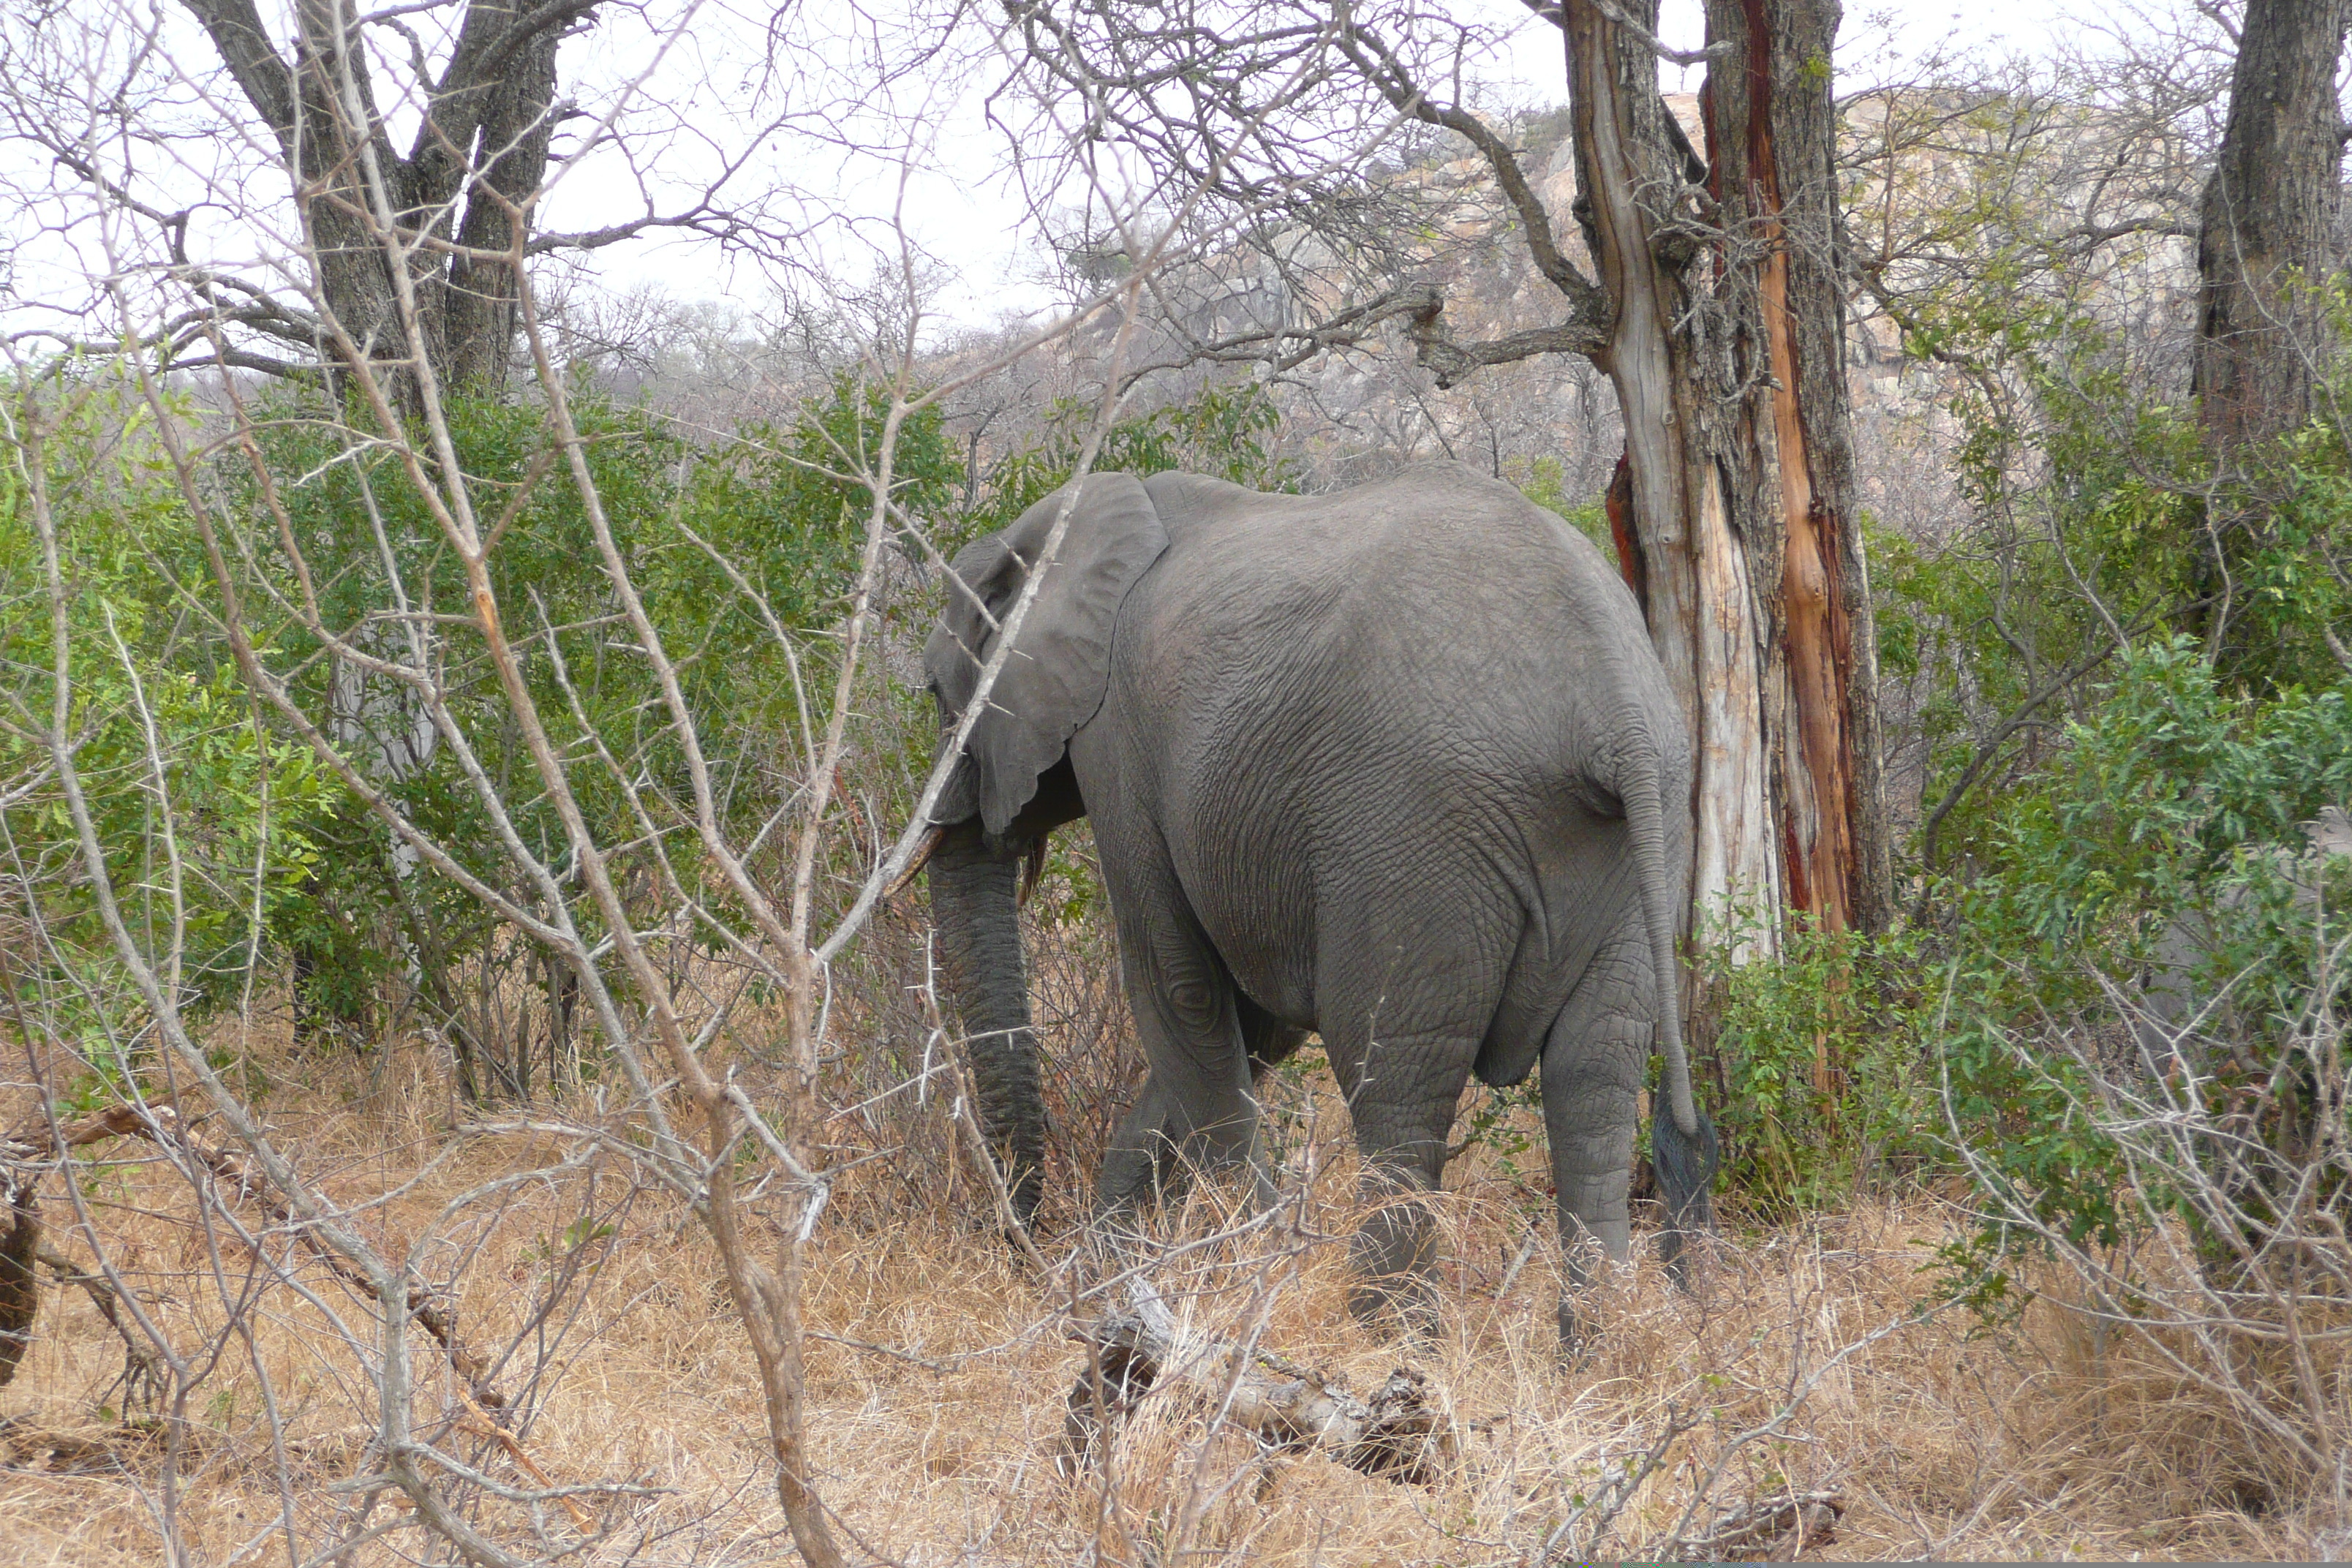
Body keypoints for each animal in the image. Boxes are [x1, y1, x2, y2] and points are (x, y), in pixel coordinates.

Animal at [912, 463, 1712, 1335]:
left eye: (936, 690)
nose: (1023, 1240)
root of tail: (1616, 710)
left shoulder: (1117, 737)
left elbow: (1178, 989)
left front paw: (1244, 1270)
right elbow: (1255, 1022)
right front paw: (1121, 1272)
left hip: (1416, 840)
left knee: (1398, 1079)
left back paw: (1384, 1332)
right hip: (1642, 837)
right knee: (1593, 1076)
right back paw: (1589, 1344)